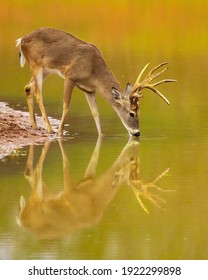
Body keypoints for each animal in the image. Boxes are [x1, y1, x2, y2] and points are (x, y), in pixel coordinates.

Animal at [15, 27, 176, 137]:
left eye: (139, 112)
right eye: (132, 113)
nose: (137, 133)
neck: (93, 70)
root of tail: (21, 40)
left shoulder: (89, 89)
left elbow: (95, 113)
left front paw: (101, 135)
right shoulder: (70, 77)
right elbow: (66, 105)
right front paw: (60, 133)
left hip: (46, 70)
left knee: (28, 87)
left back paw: (35, 126)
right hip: (36, 64)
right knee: (38, 93)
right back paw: (49, 129)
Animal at [18, 138, 171, 238]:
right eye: (131, 161)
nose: (133, 147)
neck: (94, 201)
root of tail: (21, 221)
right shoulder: (69, 192)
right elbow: (65, 163)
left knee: (30, 174)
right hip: (37, 199)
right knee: (34, 172)